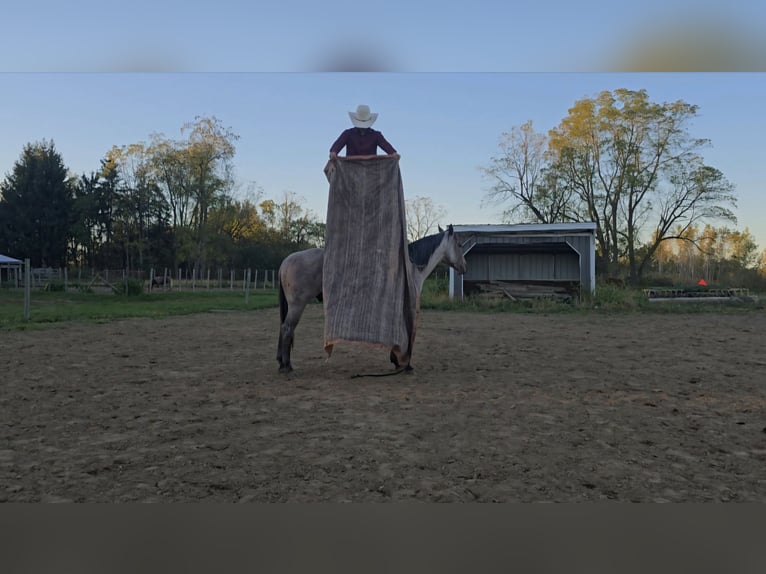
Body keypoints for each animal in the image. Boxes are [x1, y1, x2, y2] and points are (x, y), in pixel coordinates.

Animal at [278, 225, 468, 378]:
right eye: (459, 244)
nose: (464, 267)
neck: (411, 268)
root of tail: (286, 261)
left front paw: (396, 361)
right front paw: (405, 365)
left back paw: (282, 363)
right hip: (297, 305)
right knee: (287, 329)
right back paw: (287, 366)